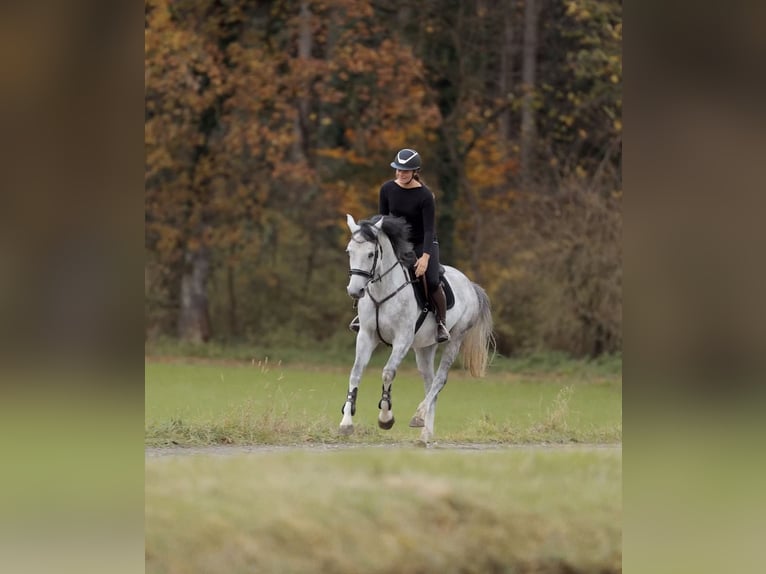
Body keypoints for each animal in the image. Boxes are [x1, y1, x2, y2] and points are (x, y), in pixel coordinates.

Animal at [340, 214, 494, 444]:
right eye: (349, 252)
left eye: (370, 254)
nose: (355, 290)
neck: (383, 289)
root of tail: (470, 284)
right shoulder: (366, 336)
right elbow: (355, 373)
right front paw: (346, 423)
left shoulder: (402, 340)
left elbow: (388, 373)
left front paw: (385, 417)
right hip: (424, 347)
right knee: (430, 384)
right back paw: (425, 434)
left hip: (455, 339)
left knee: (439, 380)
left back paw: (419, 416)